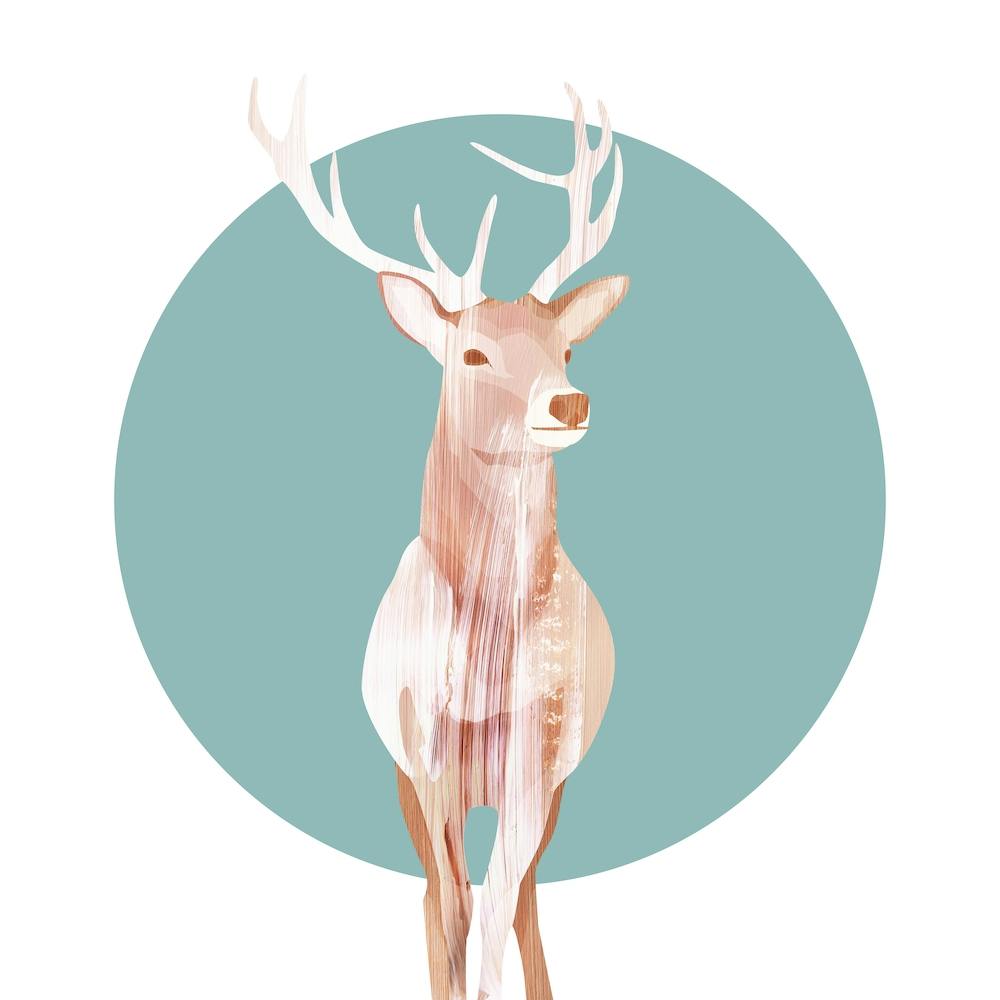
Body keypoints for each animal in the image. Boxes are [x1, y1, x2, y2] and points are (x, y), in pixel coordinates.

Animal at [249, 79, 629, 1000]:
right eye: (473, 354)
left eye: (567, 348)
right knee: (439, 893)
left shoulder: (541, 748)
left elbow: (496, 905)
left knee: (522, 897)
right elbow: (451, 905)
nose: (568, 402)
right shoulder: (420, 745)